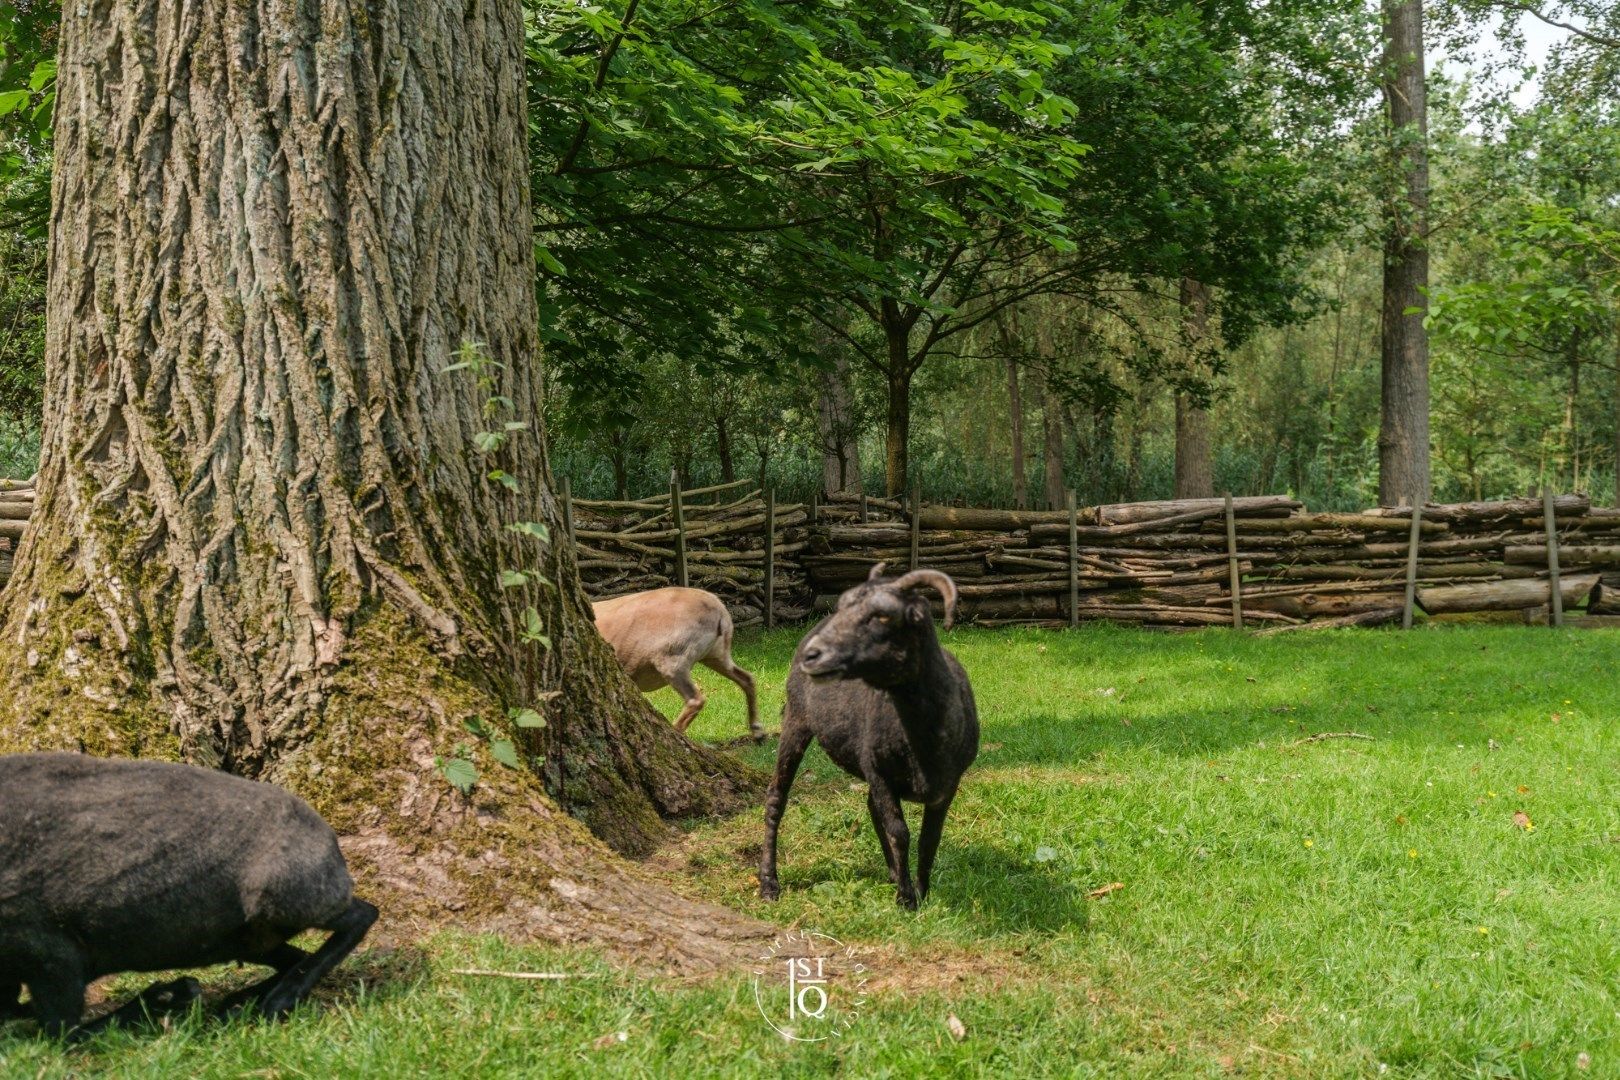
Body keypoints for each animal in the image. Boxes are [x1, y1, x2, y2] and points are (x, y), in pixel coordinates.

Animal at [0, 751, 375, 1036]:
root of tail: (329, 841)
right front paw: (173, 995)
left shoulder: (52, 958)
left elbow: (64, 1031)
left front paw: (168, 996)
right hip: (244, 939)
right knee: (297, 955)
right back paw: (241, 1001)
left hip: (283, 897)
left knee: (362, 915)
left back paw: (276, 1000)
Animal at [754, 566, 972, 913]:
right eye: (843, 604)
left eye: (882, 615)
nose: (814, 655)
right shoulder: (880, 773)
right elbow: (900, 832)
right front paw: (907, 900)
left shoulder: (947, 785)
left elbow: (929, 839)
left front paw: (921, 892)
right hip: (796, 720)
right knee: (776, 798)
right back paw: (769, 884)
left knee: (872, 806)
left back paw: (894, 872)